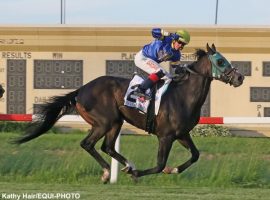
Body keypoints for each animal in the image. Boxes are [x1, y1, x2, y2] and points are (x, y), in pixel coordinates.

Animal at [13, 43, 244, 183]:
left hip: (116, 122)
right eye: (221, 61)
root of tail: (81, 90)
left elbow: (195, 155)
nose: (240, 77)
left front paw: (173, 170)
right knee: (88, 144)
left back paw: (124, 166)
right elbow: (160, 164)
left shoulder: (182, 134)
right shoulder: (166, 136)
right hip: (104, 121)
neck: (183, 95)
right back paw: (110, 172)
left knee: (107, 146)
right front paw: (138, 173)